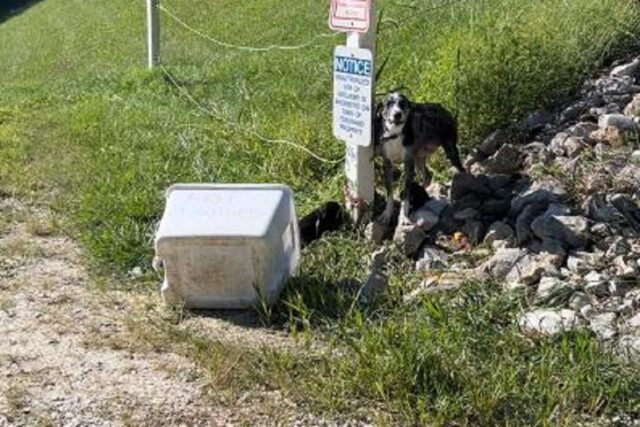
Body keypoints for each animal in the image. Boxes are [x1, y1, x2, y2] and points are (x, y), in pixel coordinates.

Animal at [372, 90, 462, 224]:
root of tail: (441, 107)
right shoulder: (387, 164)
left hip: (450, 150)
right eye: (388, 104)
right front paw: (387, 213)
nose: (397, 114)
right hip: (419, 159)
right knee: (427, 176)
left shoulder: (408, 165)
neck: (395, 134)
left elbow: (406, 194)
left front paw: (403, 216)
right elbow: (390, 192)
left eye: (402, 104)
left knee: (462, 169)